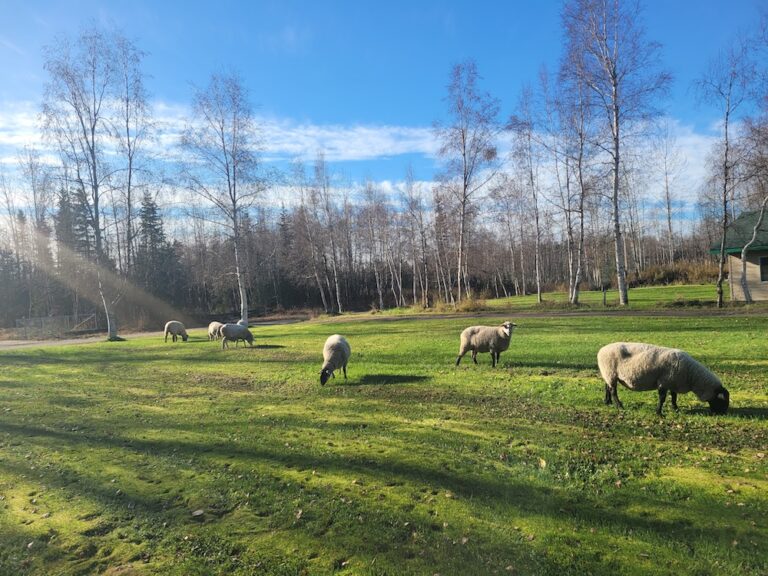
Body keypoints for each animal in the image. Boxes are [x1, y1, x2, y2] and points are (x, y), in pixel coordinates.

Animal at [597, 342, 730, 415]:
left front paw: (675, 409)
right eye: (722, 400)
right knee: (613, 391)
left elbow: (674, 397)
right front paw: (659, 412)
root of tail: (601, 350)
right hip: (610, 372)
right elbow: (662, 398)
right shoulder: (664, 382)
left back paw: (607, 402)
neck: (691, 375)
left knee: (607, 386)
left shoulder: (673, 382)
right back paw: (619, 406)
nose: (723, 414)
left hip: (608, 373)